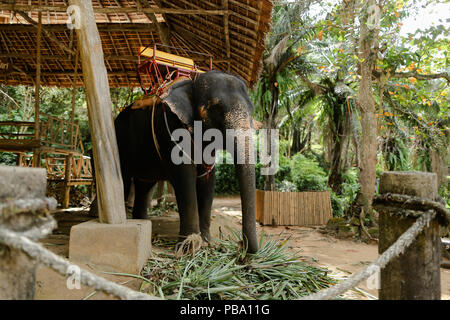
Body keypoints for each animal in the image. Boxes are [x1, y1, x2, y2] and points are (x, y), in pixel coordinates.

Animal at [116, 70, 262, 255]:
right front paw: (189, 247)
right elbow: (185, 177)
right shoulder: (171, 127)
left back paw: (142, 223)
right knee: (124, 179)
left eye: (252, 110)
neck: (192, 82)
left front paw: (206, 241)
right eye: (216, 108)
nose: (240, 245)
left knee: (145, 184)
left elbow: (208, 178)